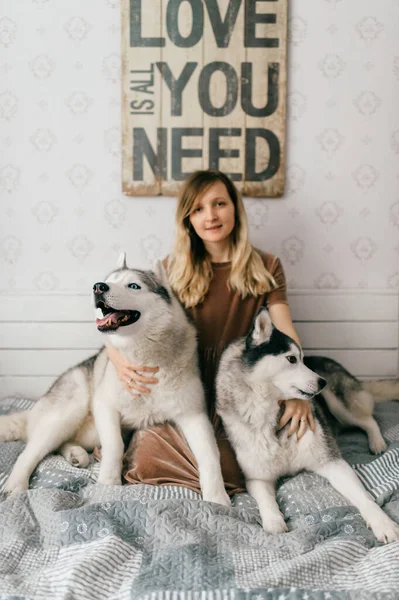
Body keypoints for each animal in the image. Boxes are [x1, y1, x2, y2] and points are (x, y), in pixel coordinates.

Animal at [0, 254, 231, 506]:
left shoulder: (194, 415)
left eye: (134, 286)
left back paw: (75, 454)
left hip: (85, 431)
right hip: (69, 412)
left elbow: (211, 456)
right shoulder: (105, 407)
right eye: (109, 281)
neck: (144, 356)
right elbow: (114, 445)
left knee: (59, 443)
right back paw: (15, 484)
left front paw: (217, 498)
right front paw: (109, 483)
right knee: (29, 452)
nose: (98, 287)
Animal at [216, 310, 399, 544]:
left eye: (302, 359)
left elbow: (364, 497)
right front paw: (273, 522)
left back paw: (377, 442)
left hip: (340, 405)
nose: (322, 382)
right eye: (292, 359)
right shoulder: (258, 477)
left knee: (369, 420)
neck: (271, 417)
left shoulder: (332, 462)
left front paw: (383, 524)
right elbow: (266, 500)